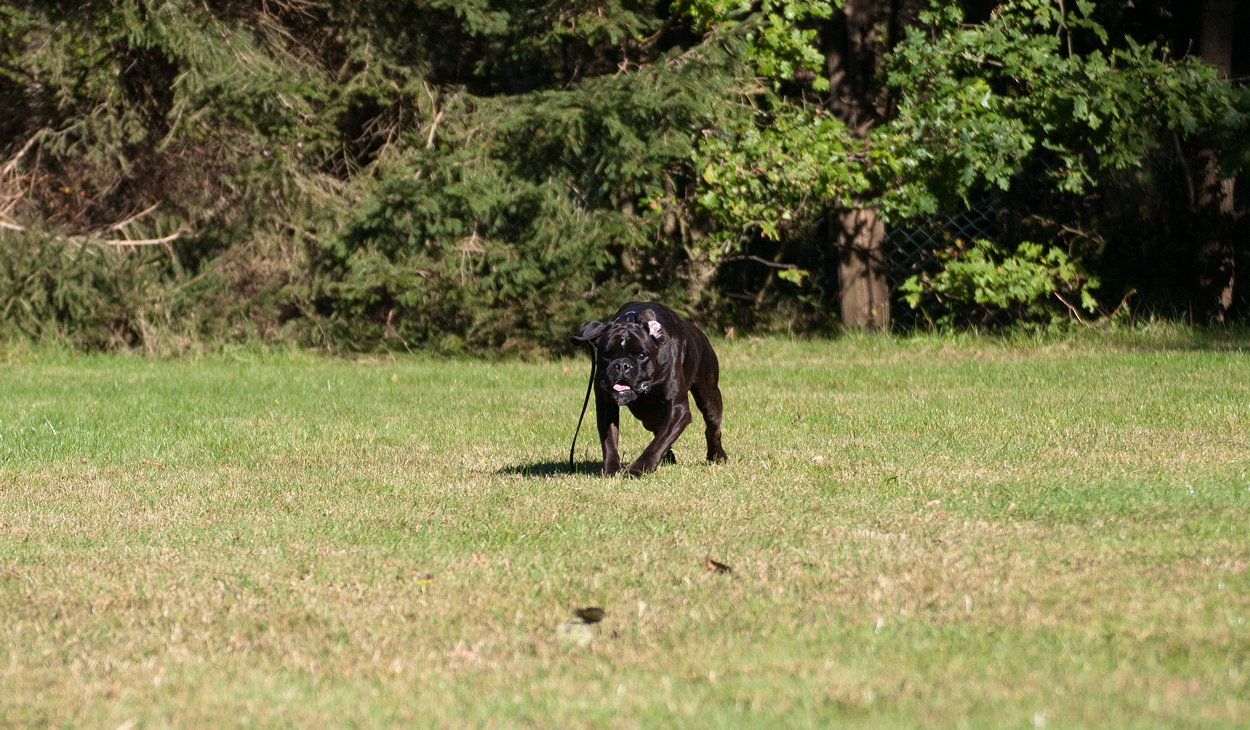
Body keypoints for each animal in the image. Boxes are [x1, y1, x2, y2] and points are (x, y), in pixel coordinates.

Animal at [572, 301, 730, 475]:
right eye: (606, 354)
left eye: (642, 355)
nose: (622, 365)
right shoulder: (606, 407)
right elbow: (610, 442)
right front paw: (611, 470)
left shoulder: (678, 409)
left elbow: (659, 442)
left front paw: (638, 468)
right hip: (648, 417)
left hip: (709, 397)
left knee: (712, 429)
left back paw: (717, 455)